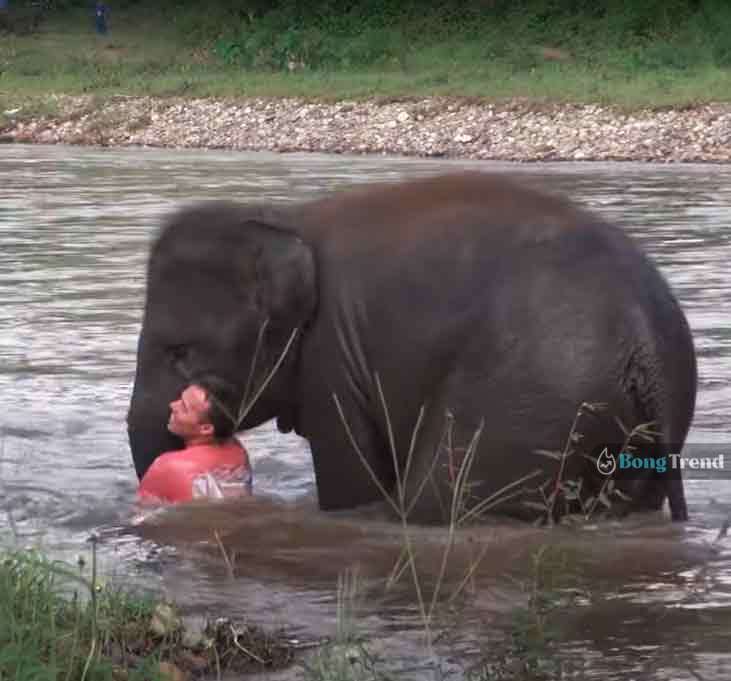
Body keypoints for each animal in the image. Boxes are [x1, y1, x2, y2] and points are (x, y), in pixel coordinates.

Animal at [127, 173, 696, 524]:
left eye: (180, 353)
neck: (286, 218)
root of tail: (643, 337)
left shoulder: (334, 360)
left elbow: (351, 480)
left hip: (535, 400)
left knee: (437, 502)